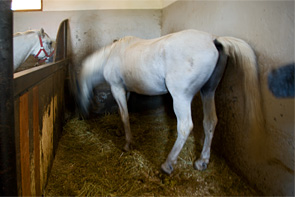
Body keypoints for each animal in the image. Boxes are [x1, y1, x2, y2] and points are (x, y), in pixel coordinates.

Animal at [74, 29, 264, 174]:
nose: (81, 114)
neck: (111, 54)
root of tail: (213, 39)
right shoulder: (125, 90)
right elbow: (125, 112)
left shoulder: (117, 88)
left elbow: (124, 115)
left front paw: (128, 144)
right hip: (208, 92)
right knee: (210, 122)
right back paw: (202, 161)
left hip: (181, 97)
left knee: (185, 126)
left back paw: (167, 164)